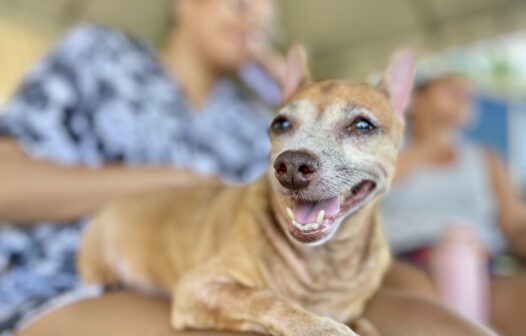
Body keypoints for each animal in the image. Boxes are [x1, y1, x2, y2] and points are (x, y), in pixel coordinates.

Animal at [78, 45, 416, 336]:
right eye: (280, 124)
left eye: (362, 126)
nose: (291, 165)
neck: (326, 261)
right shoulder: (197, 287)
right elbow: (266, 299)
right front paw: (321, 328)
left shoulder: (355, 312)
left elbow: (366, 325)